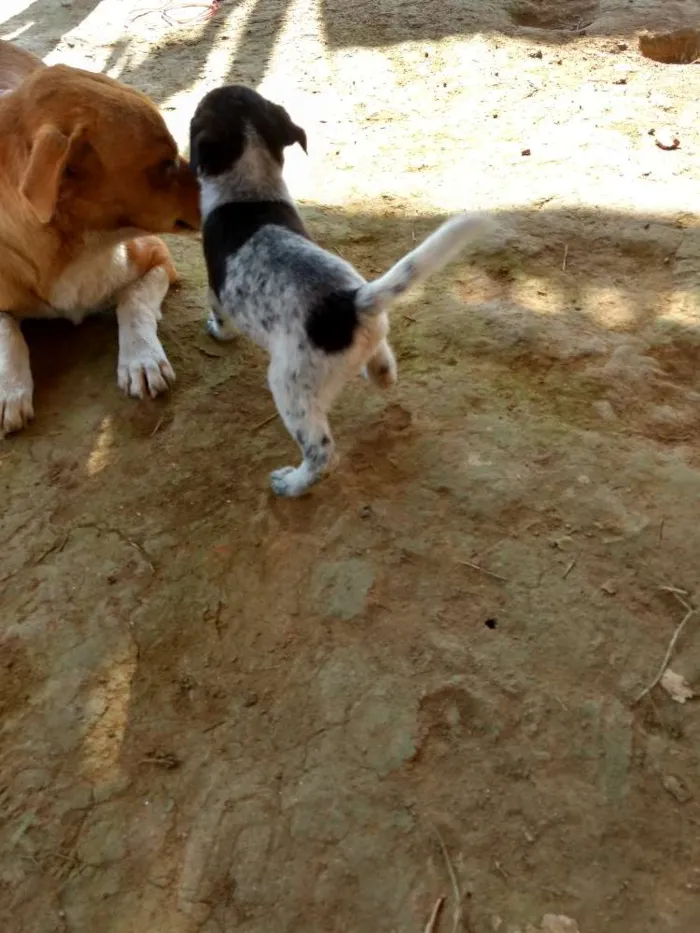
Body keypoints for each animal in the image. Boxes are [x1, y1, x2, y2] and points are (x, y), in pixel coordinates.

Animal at [0, 41, 200, 436]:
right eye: (165, 163)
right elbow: (6, 335)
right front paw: (10, 389)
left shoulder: (158, 257)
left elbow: (132, 300)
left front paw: (140, 357)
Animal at [190, 85, 492, 496]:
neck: (248, 188)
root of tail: (351, 303)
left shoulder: (215, 287)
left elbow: (220, 318)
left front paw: (216, 332)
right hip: (369, 342)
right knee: (385, 368)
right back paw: (374, 373)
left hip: (290, 386)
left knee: (321, 452)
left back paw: (292, 483)